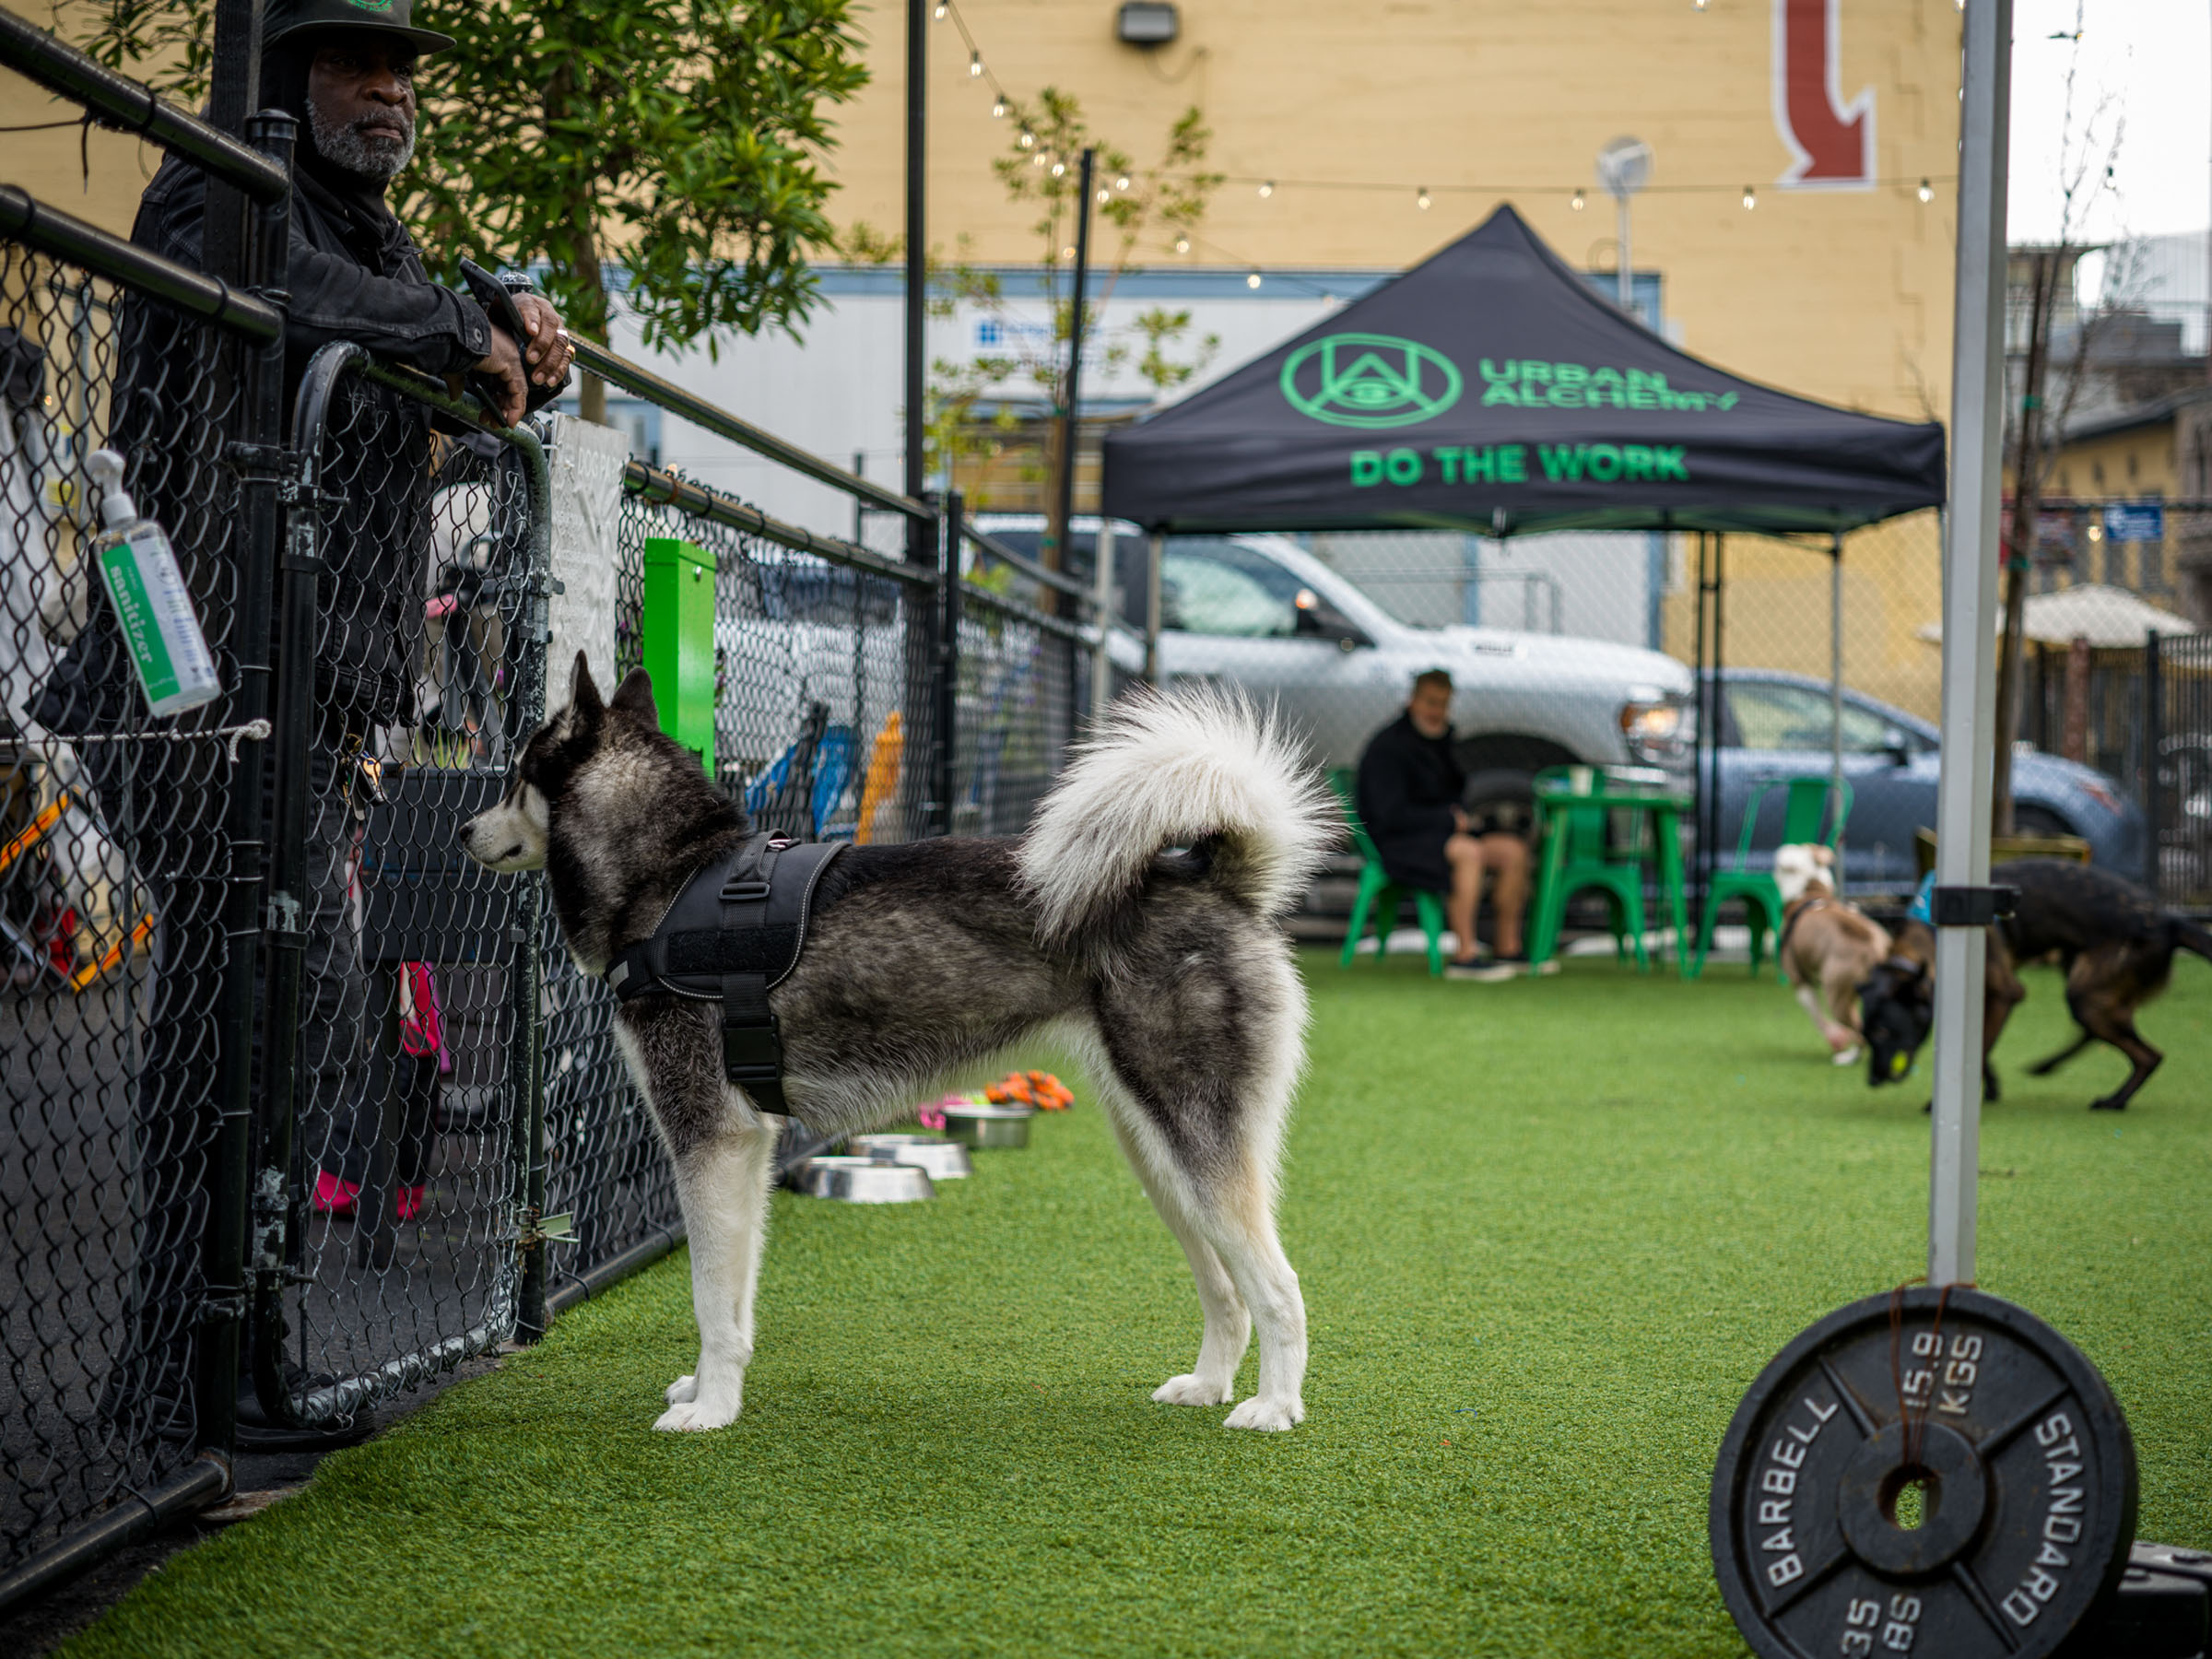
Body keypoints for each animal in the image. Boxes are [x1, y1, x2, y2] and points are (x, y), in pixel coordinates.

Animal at [460, 654, 1327, 1433]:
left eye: (516, 776)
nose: (463, 828)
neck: (672, 880)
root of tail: (1212, 880)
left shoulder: (711, 1138)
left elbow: (709, 1300)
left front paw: (709, 1411)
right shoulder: (749, 1147)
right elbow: (733, 1300)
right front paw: (712, 1390)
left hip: (1195, 1145)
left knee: (1281, 1287)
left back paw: (1276, 1408)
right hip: (1159, 1156)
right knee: (1226, 1290)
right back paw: (1208, 1385)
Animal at [1770, 849, 1893, 1070]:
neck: (1810, 890)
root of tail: (1874, 947)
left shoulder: (1800, 980)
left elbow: (1816, 1013)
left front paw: (1836, 1038)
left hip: (1837, 996)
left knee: (1861, 1030)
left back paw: (1848, 1058)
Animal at [1858, 858, 2203, 1119]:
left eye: (1883, 1032)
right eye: (1866, 1035)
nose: (1872, 1081)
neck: (1927, 939)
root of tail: (2170, 921)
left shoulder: (2005, 994)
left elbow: (1981, 1047)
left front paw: (1949, 1100)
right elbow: (1979, 1048)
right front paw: (1991, 1087)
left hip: (2086, 991)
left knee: (2148, 1055)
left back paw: (2114, 1101)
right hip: (2081, 975)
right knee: (2099, 1032)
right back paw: (2047, 1066)